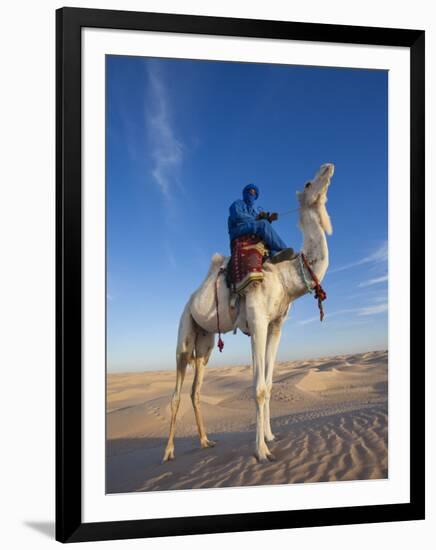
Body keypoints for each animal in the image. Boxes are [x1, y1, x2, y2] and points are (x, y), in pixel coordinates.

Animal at [162, 162, 336, 464]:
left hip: (205, 342)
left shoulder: (275, 325)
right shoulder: (257, 321)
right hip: (184, 331)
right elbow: (259, 388)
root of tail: (190, 300)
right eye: (308, 183)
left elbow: (268, 384)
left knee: (196, 390)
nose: (328, 166)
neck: (286, 276)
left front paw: (270, 436)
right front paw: (262, 451)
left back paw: (206, 441)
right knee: (176, 390)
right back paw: (169, 451)